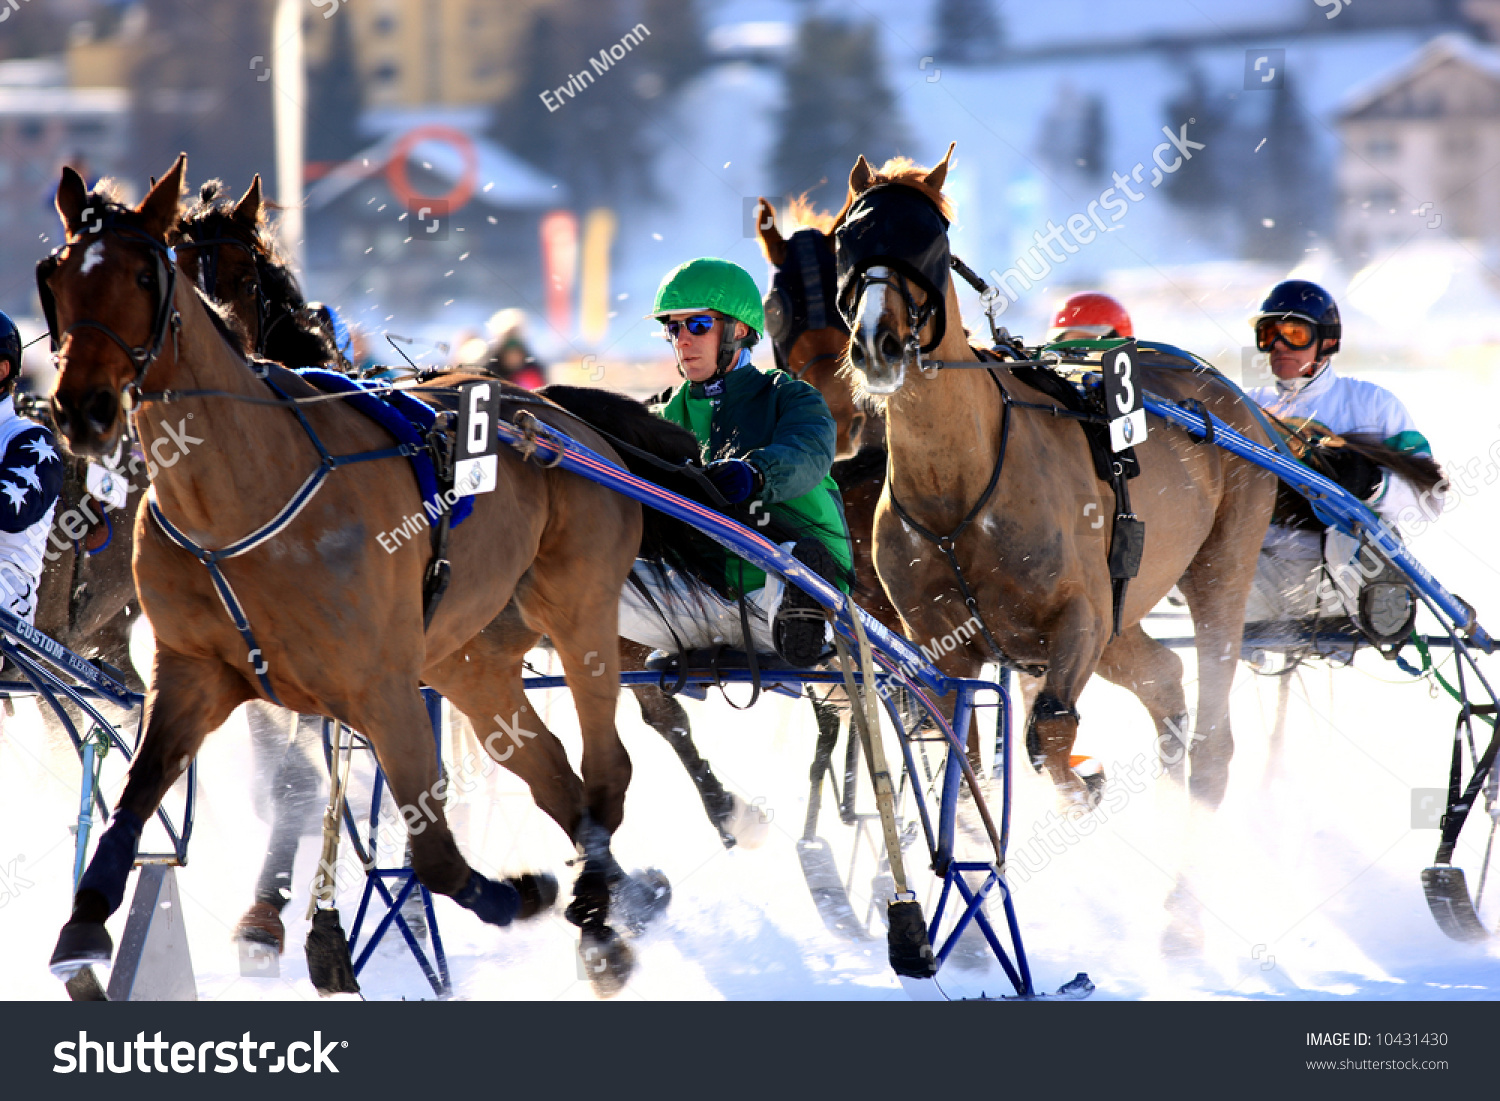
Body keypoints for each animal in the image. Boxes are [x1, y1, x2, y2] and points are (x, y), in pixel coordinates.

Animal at [39, 155, 669, 990]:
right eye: (57, 275)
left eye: (145, 273)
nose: (82, 408)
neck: (238, 502)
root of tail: (559, 416)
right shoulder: (191, 671)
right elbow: (138, 800)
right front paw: (83, 923)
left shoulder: (381, 684)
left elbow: (432, 853)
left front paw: (516, 891)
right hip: (468, 656)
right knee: (555, 776)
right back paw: (619, 901)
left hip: (579, 610)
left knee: (604, 769)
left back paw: (600, 914)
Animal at [834, 148, 1278, 810]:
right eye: (849, 237)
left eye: (929, 238)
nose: (875, 342)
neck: (954, 492)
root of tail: (1231, 398)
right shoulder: (939, 643)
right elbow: (960, 756)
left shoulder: (1080, 616)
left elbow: (1048, 728)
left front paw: (1082, 786)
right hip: (1128, 608)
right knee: (1163, 676)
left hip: (1223, 556)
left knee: (1212, 727)